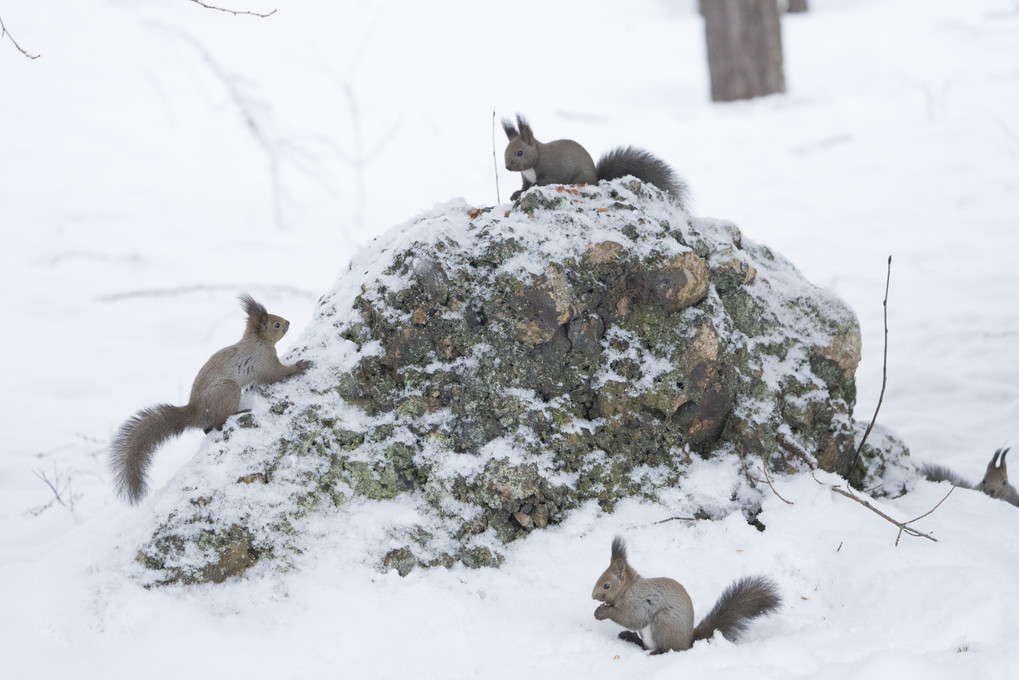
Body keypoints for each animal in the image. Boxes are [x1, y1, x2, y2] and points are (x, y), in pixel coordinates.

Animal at [109, 293, 309, 505]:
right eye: (276, 324)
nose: (288, 322)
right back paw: (239, 412)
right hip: (229, 390)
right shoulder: (264, 362)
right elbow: (276, 374)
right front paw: (299, 367)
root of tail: (195, 412)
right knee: (219, 422)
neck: (258, 341)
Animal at [503, 113, 692, 204]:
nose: (507, 167)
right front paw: (516, 193)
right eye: (506, 149)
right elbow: (525, 185)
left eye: (520, 152)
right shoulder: (526, 177)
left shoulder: (551, 171)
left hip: (580, 178)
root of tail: (596, 178)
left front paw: (523, 192)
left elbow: (541, 183)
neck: (536, 159)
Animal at [591, 538, 778, 652]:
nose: (593, 596)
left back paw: (657, 652)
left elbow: (633, 618)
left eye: (606, 585)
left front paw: (602, 612)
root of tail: (688, 642)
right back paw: (631, 638)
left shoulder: (640, 601)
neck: (628, 588)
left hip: (665, 623)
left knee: (669, 648)